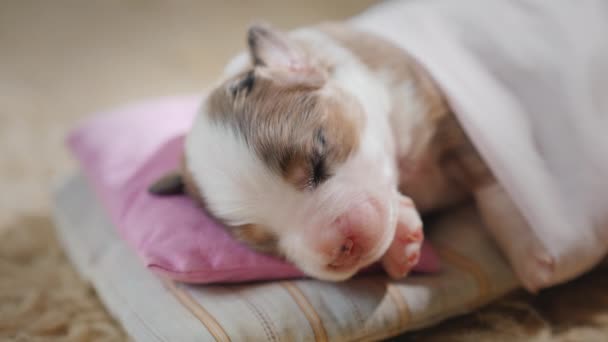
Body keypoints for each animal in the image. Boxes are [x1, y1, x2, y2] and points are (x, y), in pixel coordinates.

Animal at [148, 22, 524, 286]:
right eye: (265, 241)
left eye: (319, 157)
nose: (343, 247)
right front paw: (401, 241)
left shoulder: (441, 111)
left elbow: (486, 176)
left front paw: (528, 253)